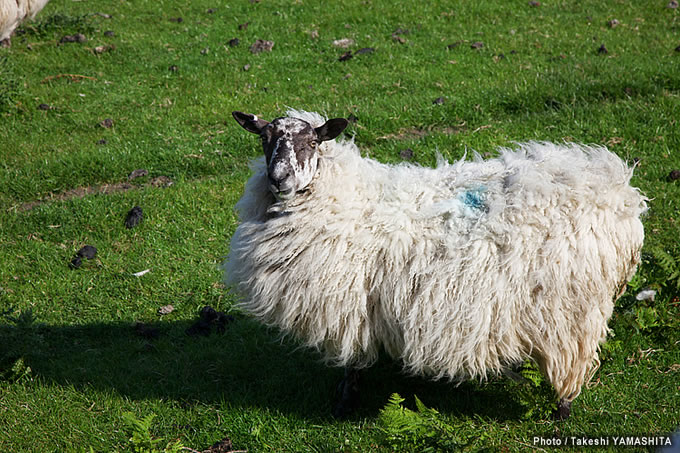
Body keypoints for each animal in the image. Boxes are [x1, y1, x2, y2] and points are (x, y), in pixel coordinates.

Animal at [223, 107, 648, 418]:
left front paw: (344, 404)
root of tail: (620, 193)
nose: (279, 179)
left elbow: (352, 362)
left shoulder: (349, 305)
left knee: (571, 363)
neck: (344, 199)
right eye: (264, 139)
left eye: (312, 141)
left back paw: (561, 412)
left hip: (572, 310)